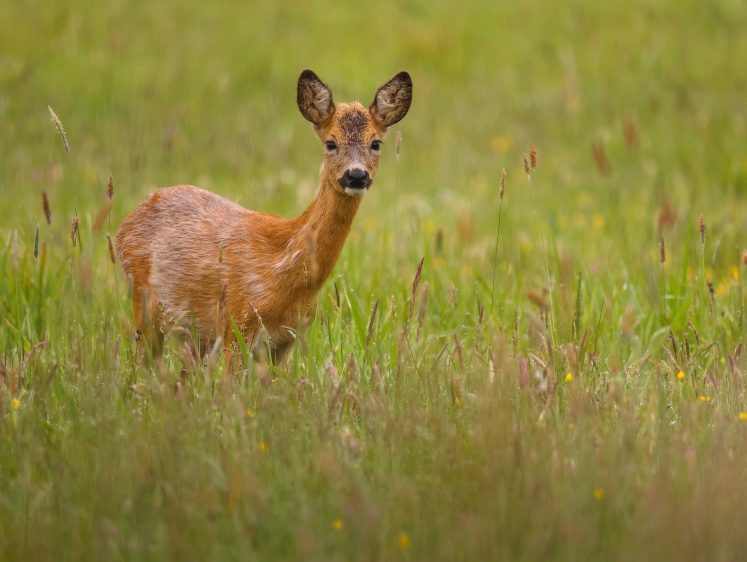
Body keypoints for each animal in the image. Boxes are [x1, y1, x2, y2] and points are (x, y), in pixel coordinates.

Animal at [115, 69, 414, 364]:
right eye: (331, 143)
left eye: (376, 143)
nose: (356, 175)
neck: (283, 269)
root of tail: (124, 225)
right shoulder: (236, 326)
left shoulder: (287, 340)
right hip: (144, 305)